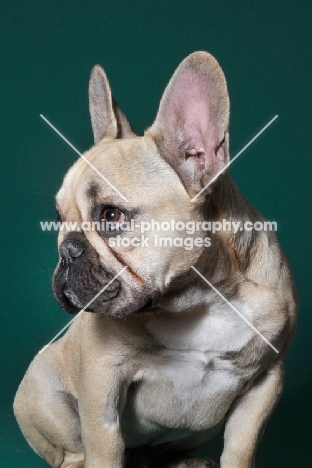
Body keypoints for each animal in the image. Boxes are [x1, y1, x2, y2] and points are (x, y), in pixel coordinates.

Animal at [14, 52, 298, 468]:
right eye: (59, 217)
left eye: (111, 215)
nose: (67, 250)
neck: (200, 300)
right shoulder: (102, 379)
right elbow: (104, 447)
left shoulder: (265, 383)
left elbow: (239, 450)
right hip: (42, 388)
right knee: (74, 453)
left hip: (203, 428)